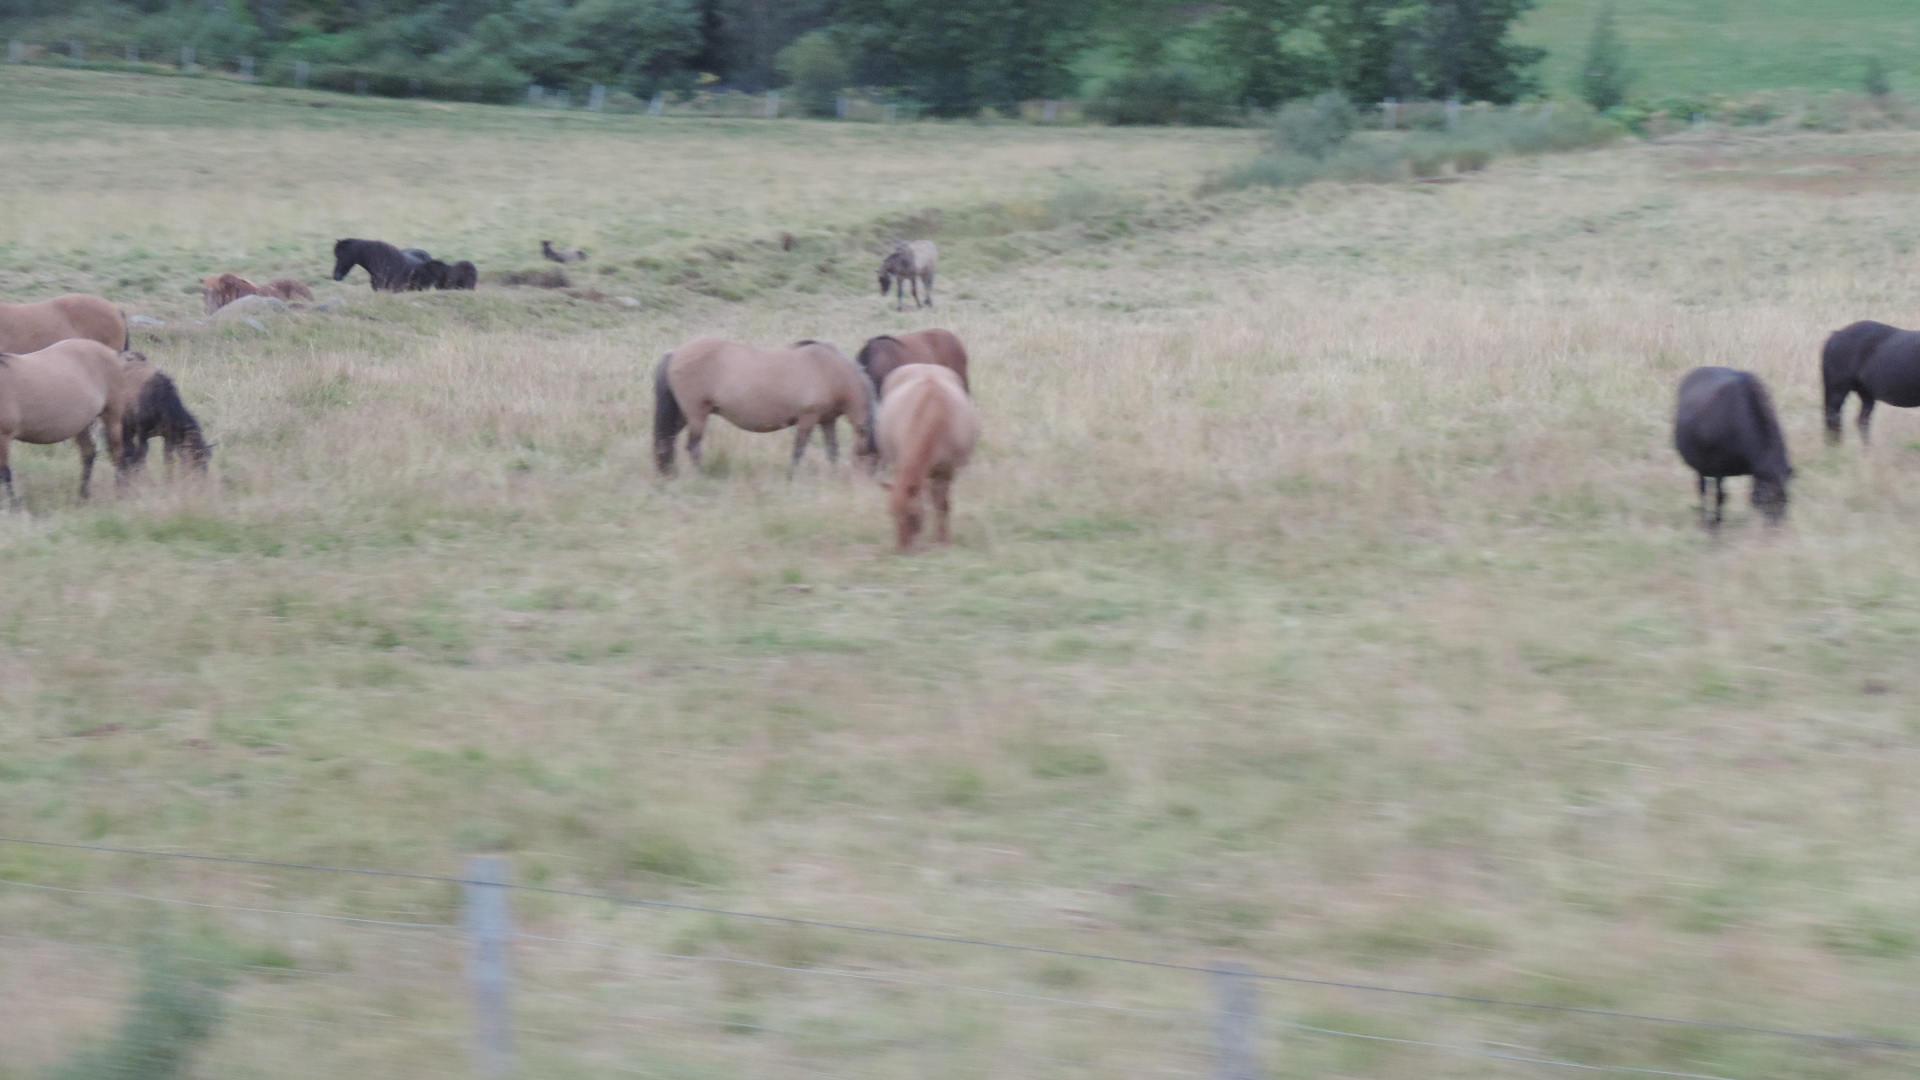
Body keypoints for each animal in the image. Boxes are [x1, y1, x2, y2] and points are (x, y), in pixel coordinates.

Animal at [0, 338, 211, 503]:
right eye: (196, 458)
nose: (200, 488)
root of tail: (113, 354)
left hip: (111, 417)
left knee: (116, 454)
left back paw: (115, 493)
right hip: (86, 423)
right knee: (92, 454)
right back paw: (84, 495)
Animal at [652, 334, 879, 472]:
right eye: (871, 452)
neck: (829, 370)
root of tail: (675, 353)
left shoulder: (827, 420)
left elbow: (832, 451)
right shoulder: (808, 418)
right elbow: (798, 450)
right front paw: (791, 478)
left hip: (683, 415)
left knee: (667, 441)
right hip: (697, 415)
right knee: (692, 446)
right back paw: (701, 475)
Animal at [879, 361, 983, 549]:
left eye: (912, 515)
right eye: (892, 514)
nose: (902, 550)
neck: (934, 413)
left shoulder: (946, 471)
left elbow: (942, 505)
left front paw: (942, 540)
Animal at [1674, 363, 1789, 526]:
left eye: (1786, 499)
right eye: (1766, 497)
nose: (1776, 527)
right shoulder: (1717, 467)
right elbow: (1719, 495)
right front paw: (1715, 524)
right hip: (1702, 467)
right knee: (1703, 488)